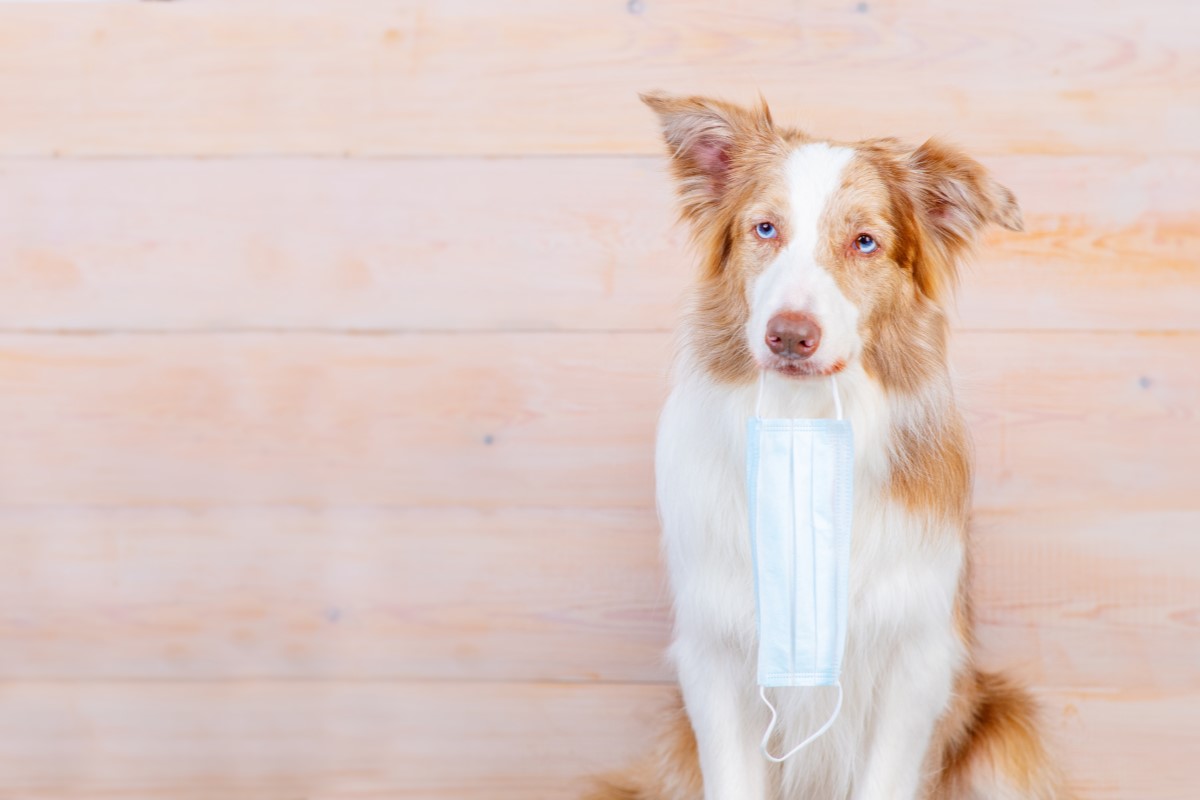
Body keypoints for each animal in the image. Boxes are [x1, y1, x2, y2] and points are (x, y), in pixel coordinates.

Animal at [585, 90, 1065, 796]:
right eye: (765, 230)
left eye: (865, 242)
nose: (790, 335)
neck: (802, 420)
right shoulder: (716, 654)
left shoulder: (915, 660)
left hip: (1005, 729)